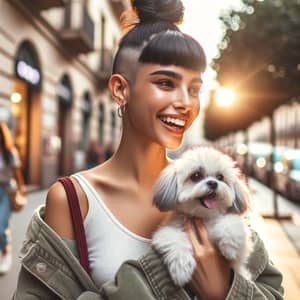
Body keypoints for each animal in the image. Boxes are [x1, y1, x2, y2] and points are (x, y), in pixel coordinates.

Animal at [152, 146, 253, 288]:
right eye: (196, 176)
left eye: (220, 177)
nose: (213, 183)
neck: (203, 216)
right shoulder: (168, 230)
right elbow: (174, 238)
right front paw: (181, 268)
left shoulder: (242, 249)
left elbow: (232, 222)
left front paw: (229, 247)